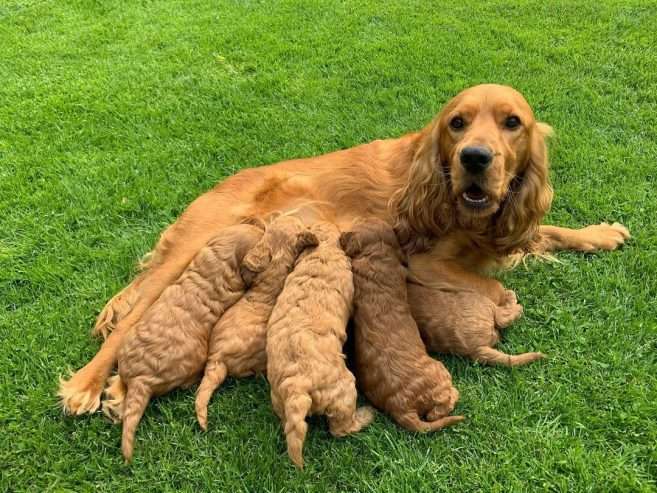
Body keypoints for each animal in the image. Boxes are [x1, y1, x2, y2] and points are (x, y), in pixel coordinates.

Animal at [264, 221, 372, 468]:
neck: (321, 251)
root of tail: (299, 386)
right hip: (345, 393)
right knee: (340, 428)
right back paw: (365, 416)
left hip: (279, 399)